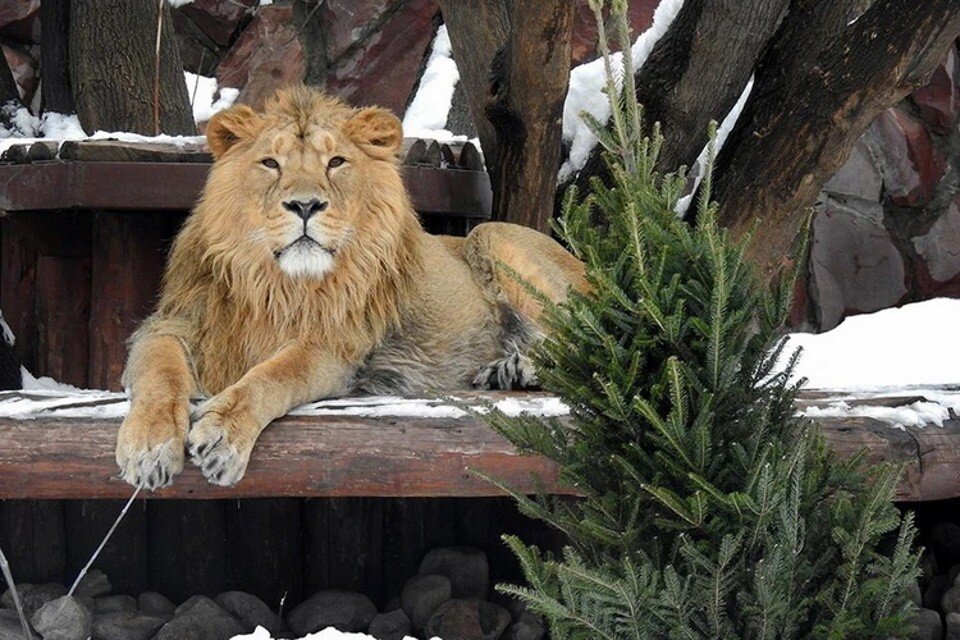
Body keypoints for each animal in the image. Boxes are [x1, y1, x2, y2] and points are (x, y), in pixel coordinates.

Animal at [118, 86, 584, 490]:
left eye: (336, 162)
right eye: (271, 163)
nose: (305, 205)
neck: (278, 285)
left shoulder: (332, 346)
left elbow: (274, 374)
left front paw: (222, 436)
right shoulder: (174, 324)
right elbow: (159, 372)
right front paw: (149, 448)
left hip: (493, 236)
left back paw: (518, 368)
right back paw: (505, 371)